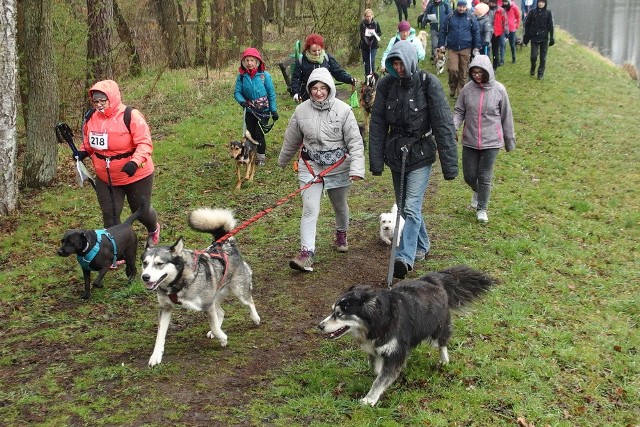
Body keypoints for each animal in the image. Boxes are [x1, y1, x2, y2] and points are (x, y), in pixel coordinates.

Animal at [140, 208, 260, 368]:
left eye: (159, 264)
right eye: (145, 263)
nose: (145, 277)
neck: (179, 282)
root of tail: (224, 243)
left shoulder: (207, 305)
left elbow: (214, 326)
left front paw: (222, 338)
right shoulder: (165, 308)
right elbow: (160, 335)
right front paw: (155, 356)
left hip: (238, 290)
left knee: (249, 301)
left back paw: (255, 317)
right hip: (215, 296)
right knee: (221, 312)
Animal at [318, 266, 496, 406]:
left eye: (340, 314)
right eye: (332, 311)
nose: (320, 326)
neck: (379, 320)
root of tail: (432, 280)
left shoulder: (395, 352)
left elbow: (380, 379)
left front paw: (369, 399)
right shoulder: (377, 349)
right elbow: (378, 371)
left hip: (439, 327)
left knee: (442, 343)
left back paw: (444, 360)